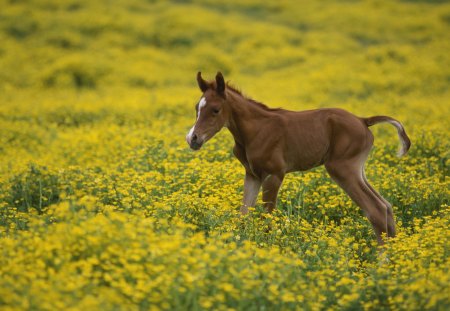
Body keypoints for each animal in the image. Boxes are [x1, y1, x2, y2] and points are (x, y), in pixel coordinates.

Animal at [186, 72, 412, 245]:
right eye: (197, 108)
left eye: (215, 110)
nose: (192, 138)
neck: (255, 130)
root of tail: (363, 120)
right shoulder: (252, 175)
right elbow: (244, 214)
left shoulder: (275, 174)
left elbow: (267, 216)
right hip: (357, 170)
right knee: (386, 206)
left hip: (342, 169)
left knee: (375, 209)